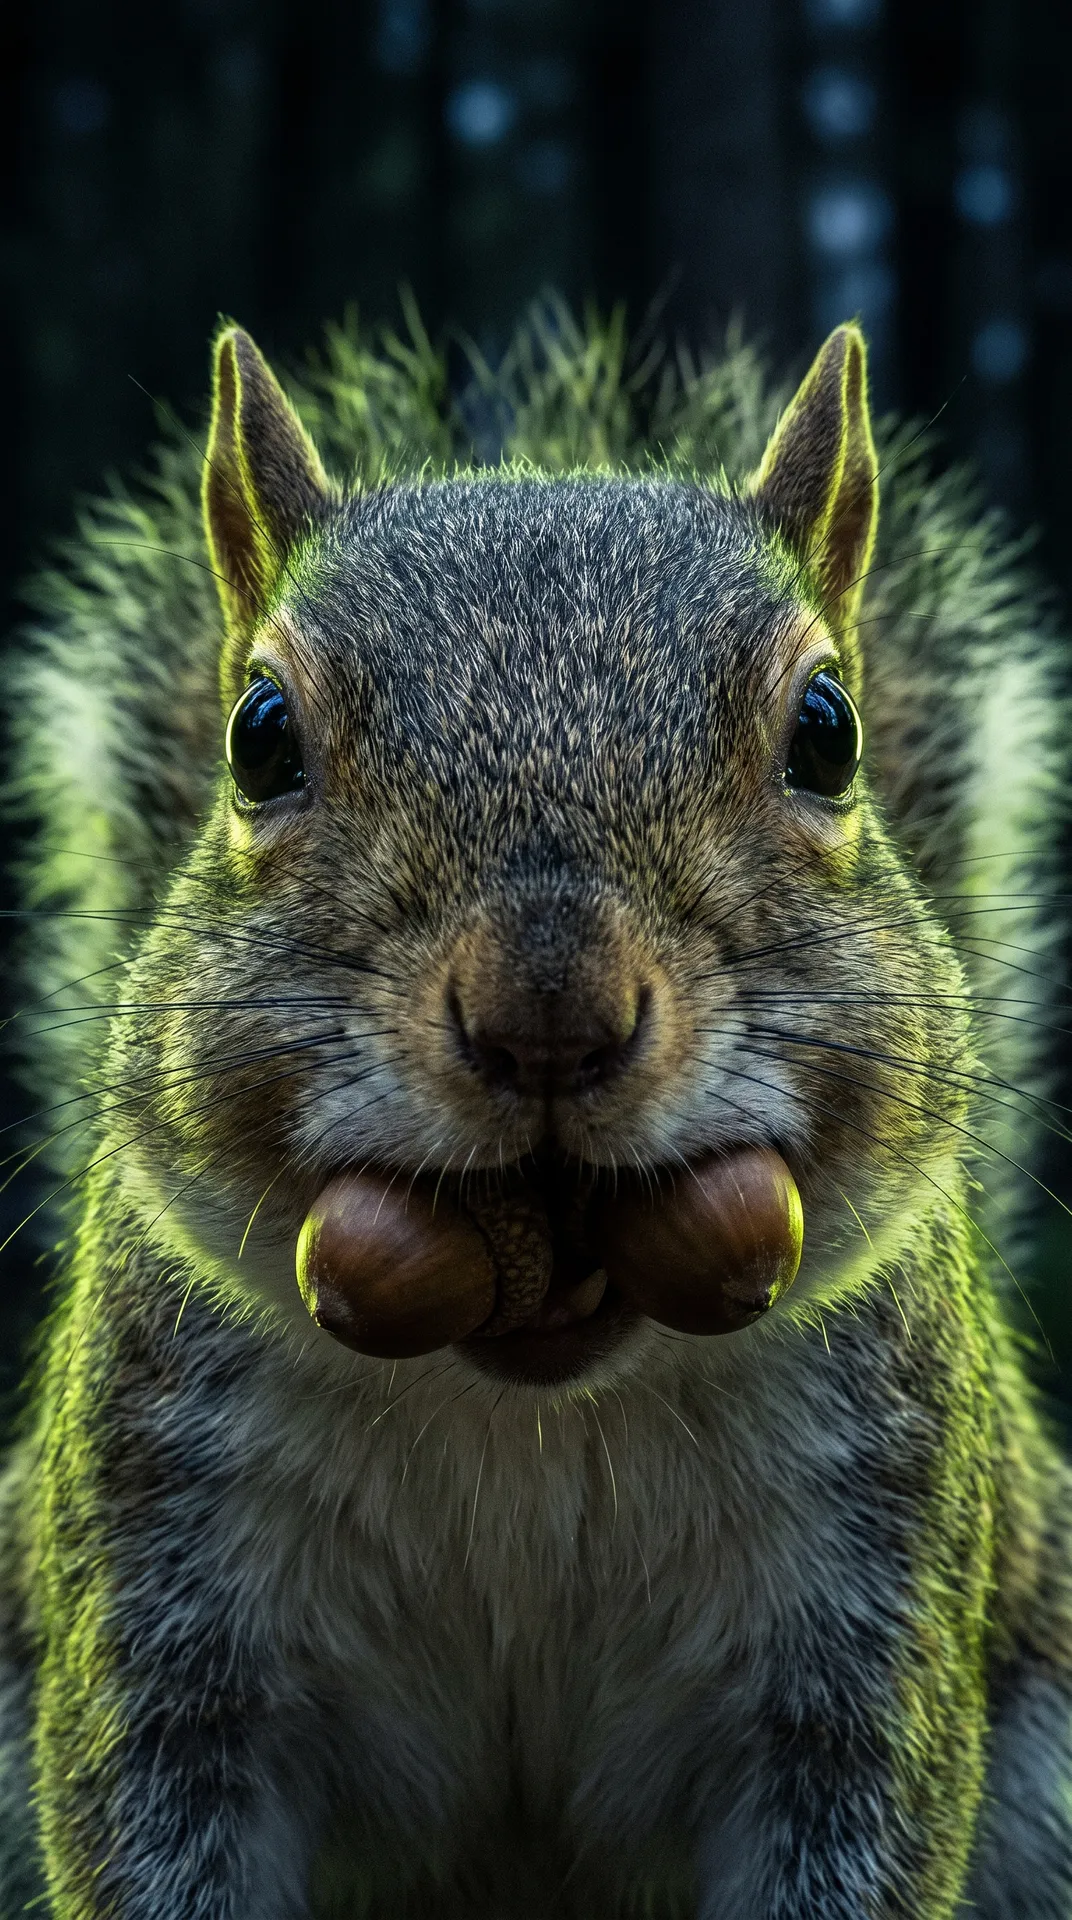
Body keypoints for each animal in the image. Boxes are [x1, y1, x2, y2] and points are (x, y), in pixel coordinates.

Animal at [0, 298, 1070, 1919]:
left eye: (829, 733)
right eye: (259, 737)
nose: (547, 1012)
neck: (528, 1414)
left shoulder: (864, 1617)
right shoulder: (162, 1603)